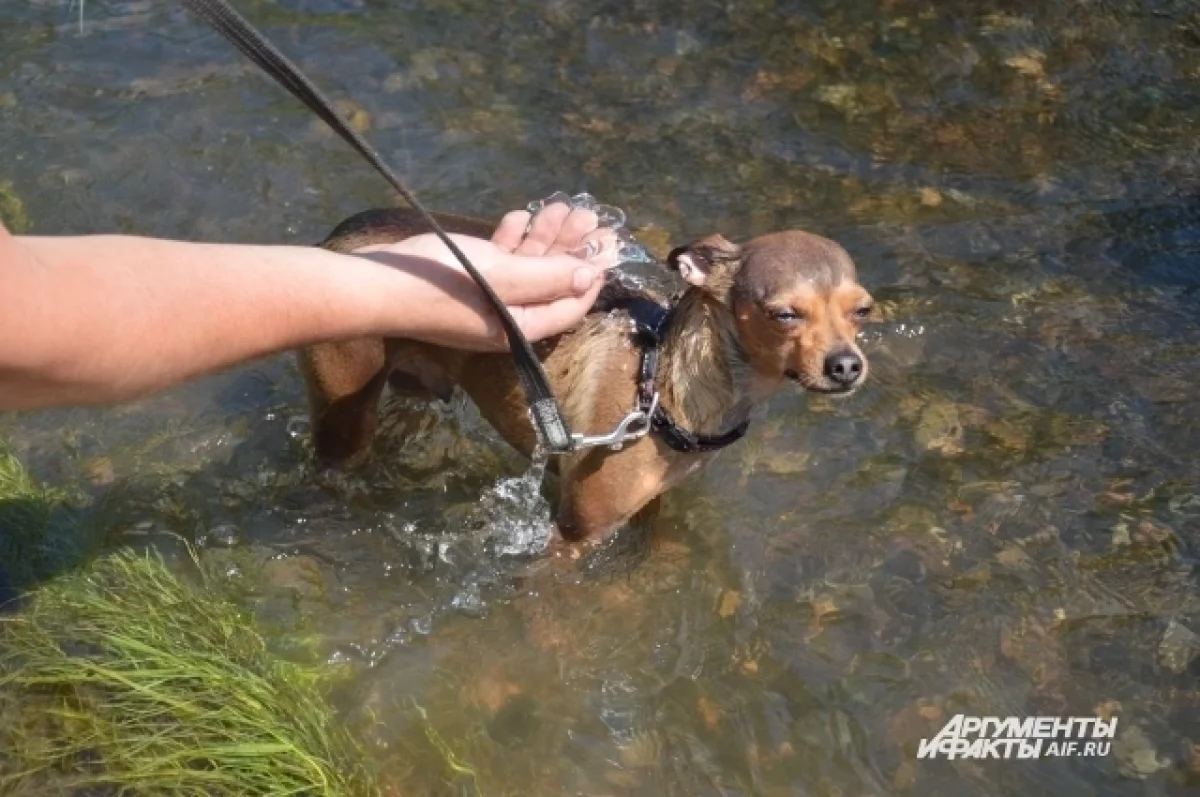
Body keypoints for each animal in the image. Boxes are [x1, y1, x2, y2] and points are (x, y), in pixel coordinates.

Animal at [294, 210, 868, 547]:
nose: (846, 366)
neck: (661, 387)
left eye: (863, 310)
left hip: (412, 383)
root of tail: (338, 236)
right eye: (784, 314)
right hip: (345, 416)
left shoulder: (645, 508)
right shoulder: (574, 536)